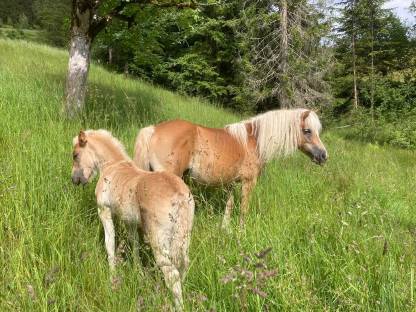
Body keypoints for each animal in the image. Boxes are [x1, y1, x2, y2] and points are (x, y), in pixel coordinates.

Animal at [71, 129, 195, 310]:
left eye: (75, 155)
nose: (74, 180)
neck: (112, 166)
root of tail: (179, 195)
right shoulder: (130, 221)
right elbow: (134, 244)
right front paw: (138, 272)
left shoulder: (104, 211)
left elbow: (110, 243)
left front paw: (112, 278)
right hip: (183, 237)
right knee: (183, 265)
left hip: (159, 240)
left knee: (172, 273)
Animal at [135, 108, 326, 228]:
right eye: (307, 131)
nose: (324, 156)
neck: (253, 141)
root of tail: (153, 129)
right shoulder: (248, 182)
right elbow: (243, 208)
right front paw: (241, 233)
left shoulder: (231, 182)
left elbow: (229, 204)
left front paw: (225, 228)